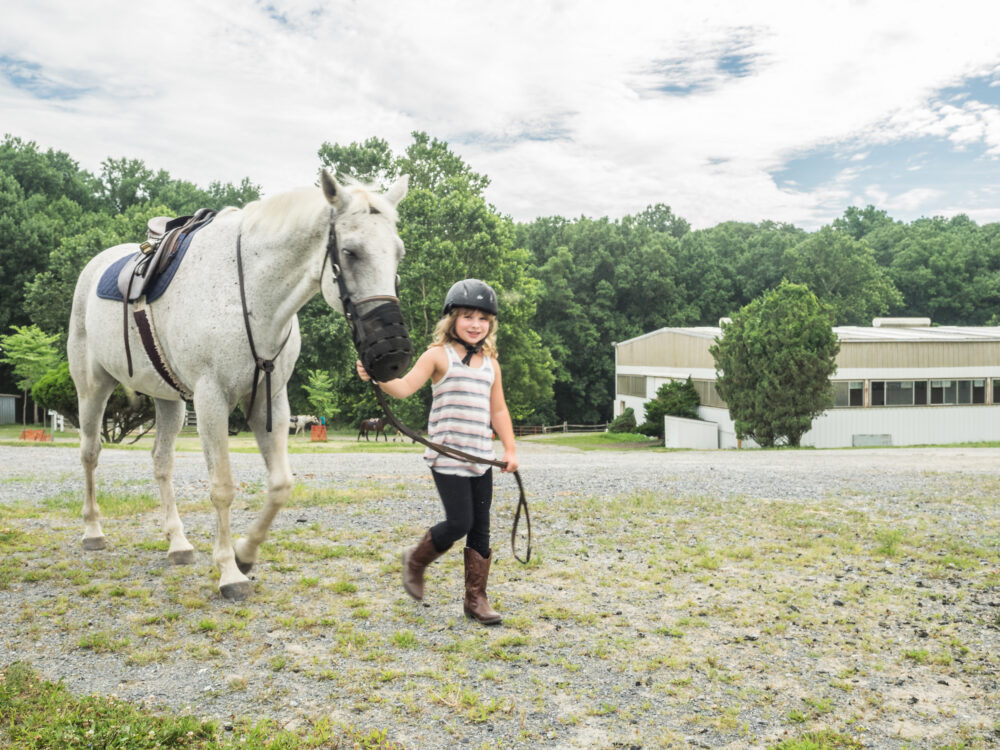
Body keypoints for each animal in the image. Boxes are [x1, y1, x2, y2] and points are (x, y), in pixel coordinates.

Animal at [67, 170, 410, 600]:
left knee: (161, 462)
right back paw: (92, 531)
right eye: (350, 252)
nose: (393, 355)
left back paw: (178, 543)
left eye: (398, 253)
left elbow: (280, 485)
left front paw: (246, 554)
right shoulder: (212, 399)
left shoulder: (269, 399)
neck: (253, 298)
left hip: (170, 401)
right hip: (93, 387)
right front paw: (229, 571)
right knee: (90, 454)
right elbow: (223, 487)